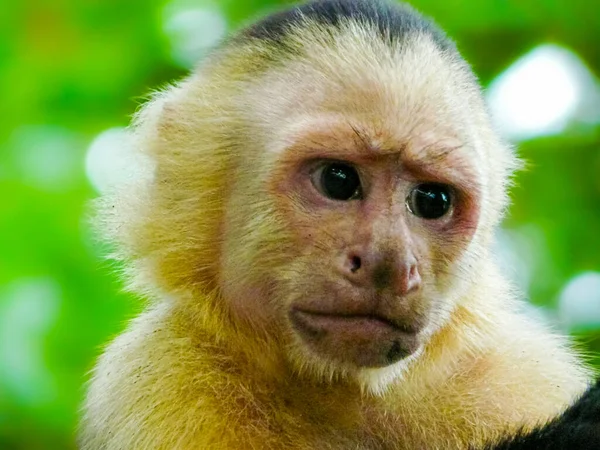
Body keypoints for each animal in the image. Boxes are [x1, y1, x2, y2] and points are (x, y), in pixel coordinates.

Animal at [79, 0, 596, 450]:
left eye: (432, 201)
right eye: (338, 179)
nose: (391, 263)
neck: (346, 395)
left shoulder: (515, 372)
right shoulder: (159, 375)